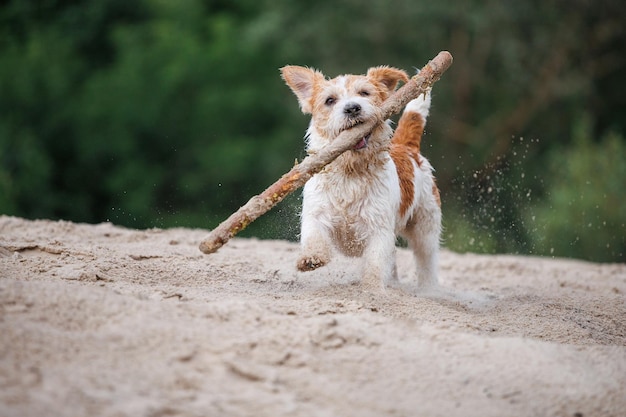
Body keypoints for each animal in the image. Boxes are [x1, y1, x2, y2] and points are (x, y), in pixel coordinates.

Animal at [280, 65, 442, 290]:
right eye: (330, 100)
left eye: (364, 93)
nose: (352, 108)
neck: (350, 170)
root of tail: (407, 147)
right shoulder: (316, 213)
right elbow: (314, 236)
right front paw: (311, 258)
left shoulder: (379, 227)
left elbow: (375, 262)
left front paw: (371, 289)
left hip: (425, 226)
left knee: (427, 260)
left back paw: (429, 290)